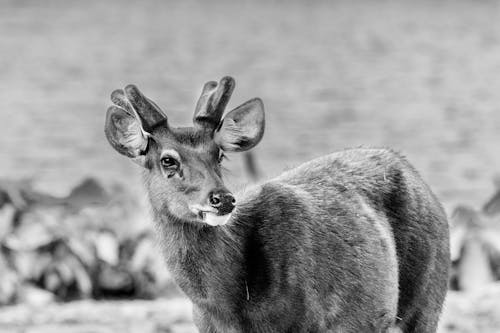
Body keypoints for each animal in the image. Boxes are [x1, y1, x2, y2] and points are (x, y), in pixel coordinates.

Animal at [104, 76, 450, 330]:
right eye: (168, 160)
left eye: (219, 153)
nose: (223, 199)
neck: (232, 309)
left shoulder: (306, 321)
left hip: (427, 301)